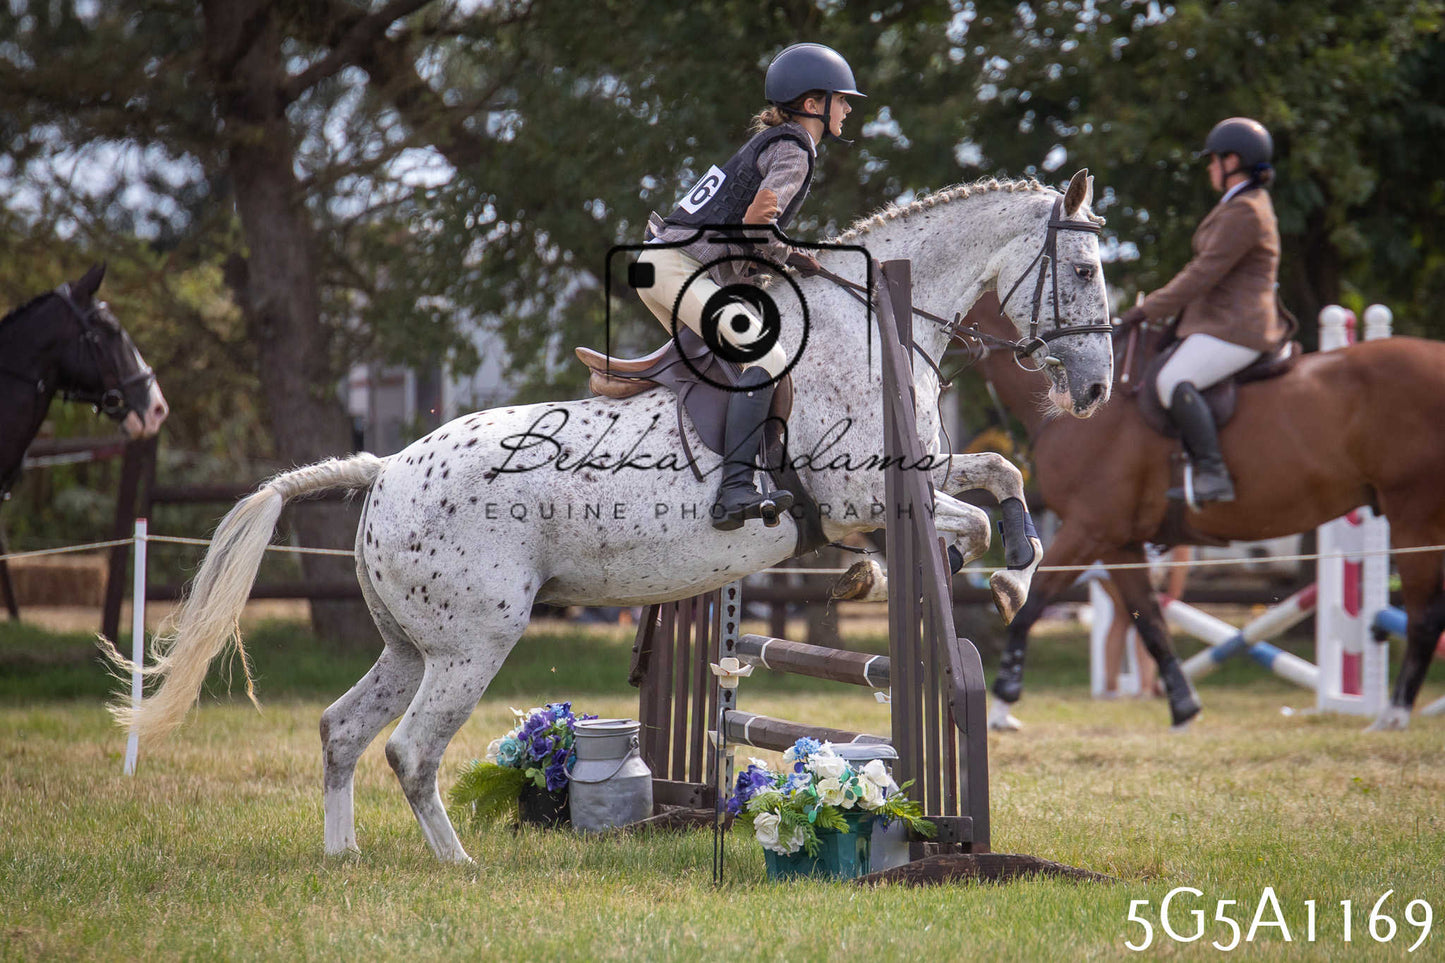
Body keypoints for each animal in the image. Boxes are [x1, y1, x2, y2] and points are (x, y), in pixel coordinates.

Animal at [106, 172, 1115, 863]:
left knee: (343, 731)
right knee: (410, 750)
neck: (870, 326)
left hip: (409, 644)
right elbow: (967, 519)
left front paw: (945, 567)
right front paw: (1002, 575)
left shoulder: (910, 479)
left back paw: (342, 854)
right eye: (1082, 268)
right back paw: (458, 865)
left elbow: (995, 471)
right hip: (473, 641)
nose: (1098, 389)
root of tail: (385, 467)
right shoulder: (865, 492)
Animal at [966, 291, 1445, 732]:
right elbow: (1151, 621)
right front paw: (1184, 708)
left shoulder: (1090, 528)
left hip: (1413, 513)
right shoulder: (1120, 540)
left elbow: (1027, 604)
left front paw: (1002, 706)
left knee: (1424, 617)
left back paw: (1392, 717)